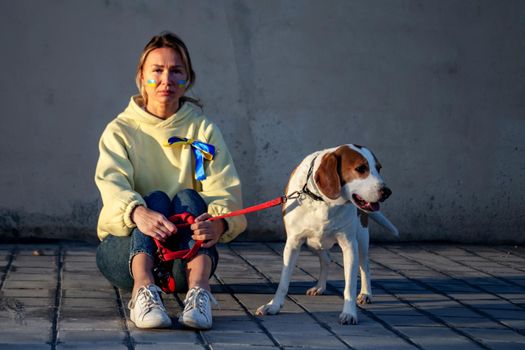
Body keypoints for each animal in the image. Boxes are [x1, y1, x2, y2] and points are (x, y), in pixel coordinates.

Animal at [255, 144, 398, 324]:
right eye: (360, 168)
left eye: (378, 168)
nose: (387, 192)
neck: (323, 200)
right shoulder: (293, 243)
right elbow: (283, 281)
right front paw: (273, 306)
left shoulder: (349, 245)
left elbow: (350, 286)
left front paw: (349, 313)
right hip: (313, 243)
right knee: (326, 260)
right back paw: (320, 286)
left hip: (361, 239)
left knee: (364, 265)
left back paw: (366, 293)